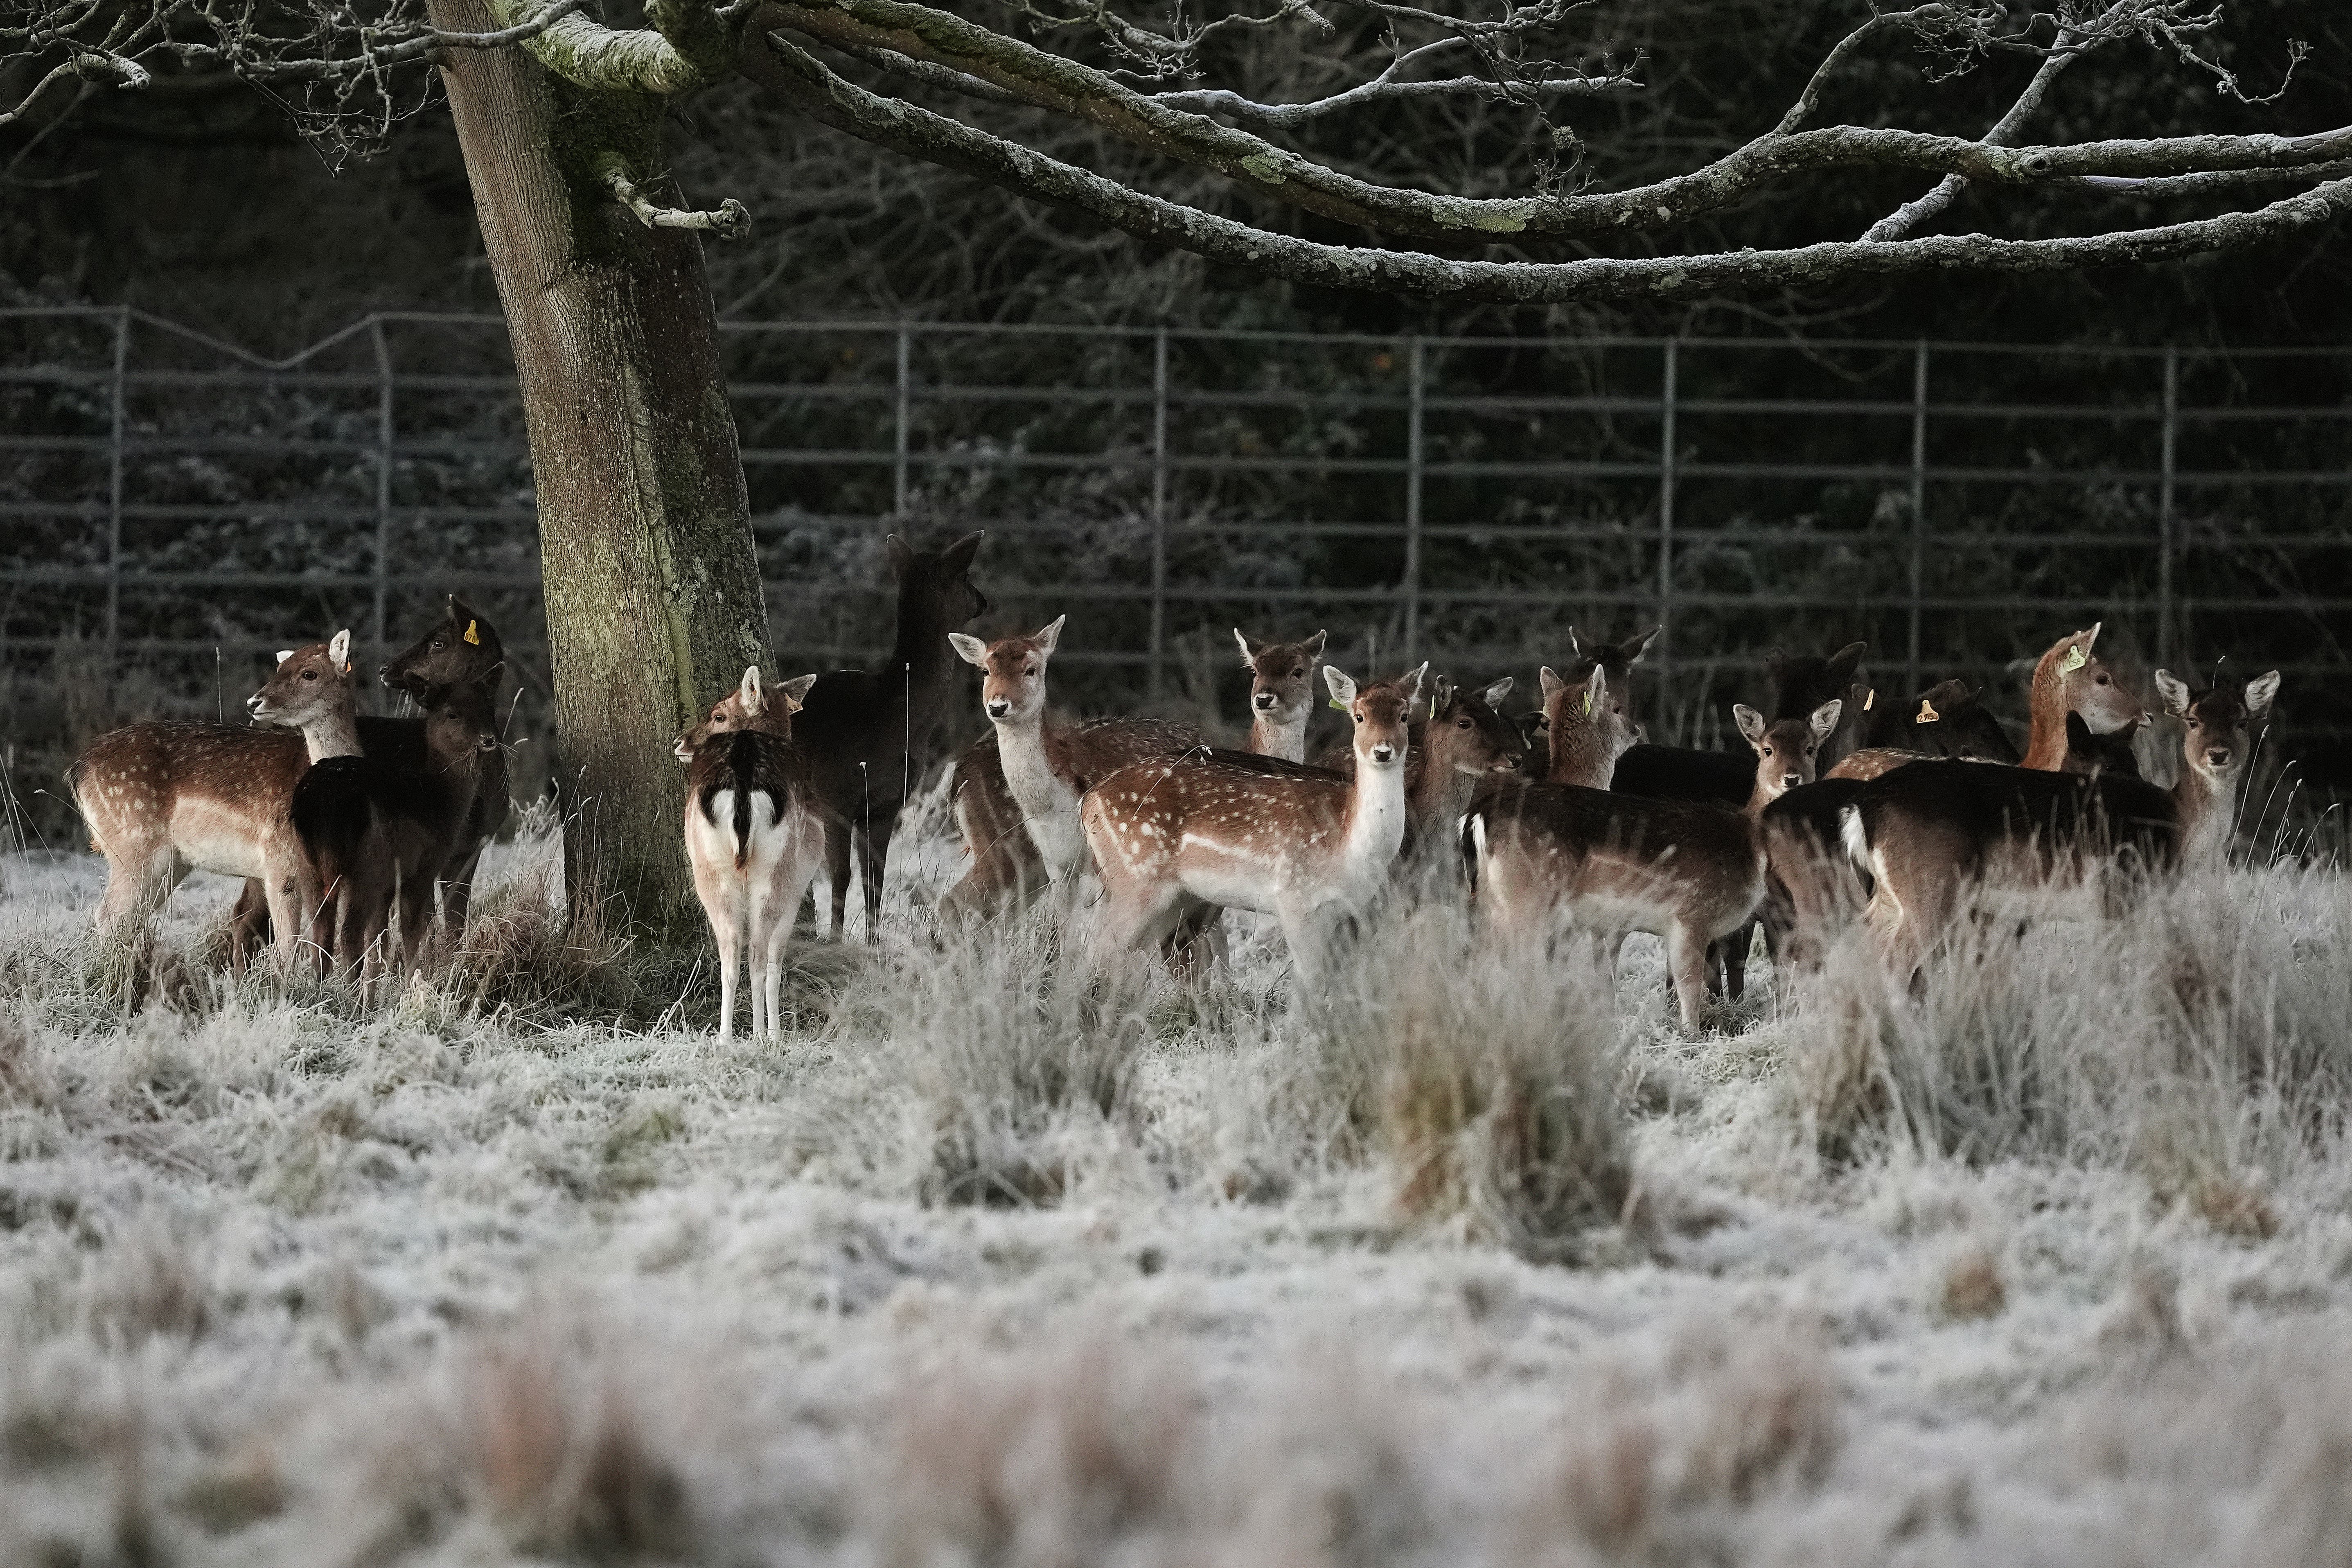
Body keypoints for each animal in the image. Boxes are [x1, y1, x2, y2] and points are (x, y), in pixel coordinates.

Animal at [72, 630, 372, 968]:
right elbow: (287, 949)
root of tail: (78, 770)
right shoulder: (279, 862)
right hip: (131, 846)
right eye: (280, 669)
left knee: (128, 917)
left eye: (310, 673)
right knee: (108, 915)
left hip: (169, 863)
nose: (255, 702)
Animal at [672, 668, 828, 1044]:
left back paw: (727, 1036)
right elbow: (775, 961)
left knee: (731, 947)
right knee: (757, 950)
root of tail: (742, 781)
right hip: (775, 870)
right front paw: (774, 1032)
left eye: (718, 716)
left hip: (712, 869)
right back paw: (760, 1035)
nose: (679, 743)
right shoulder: (797, 889)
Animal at [790, 533, 992, 945]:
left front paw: (873, 943)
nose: (983, 599)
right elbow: (841, 876)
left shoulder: (886, 805)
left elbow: (876, 879)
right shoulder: (834, 796)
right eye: (964, 575)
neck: (892, 717)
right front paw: (836, 940)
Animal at [1077, 668, 1411, 987]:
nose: (1383, 751)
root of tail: (1089, 800)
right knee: (1100, 950)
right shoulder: (1294, 899)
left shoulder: (1352, 910)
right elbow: (1310, 986)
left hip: (1176, 897)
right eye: (1359, 715)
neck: (1349, 842)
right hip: (1134, 877)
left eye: (1404, 715)